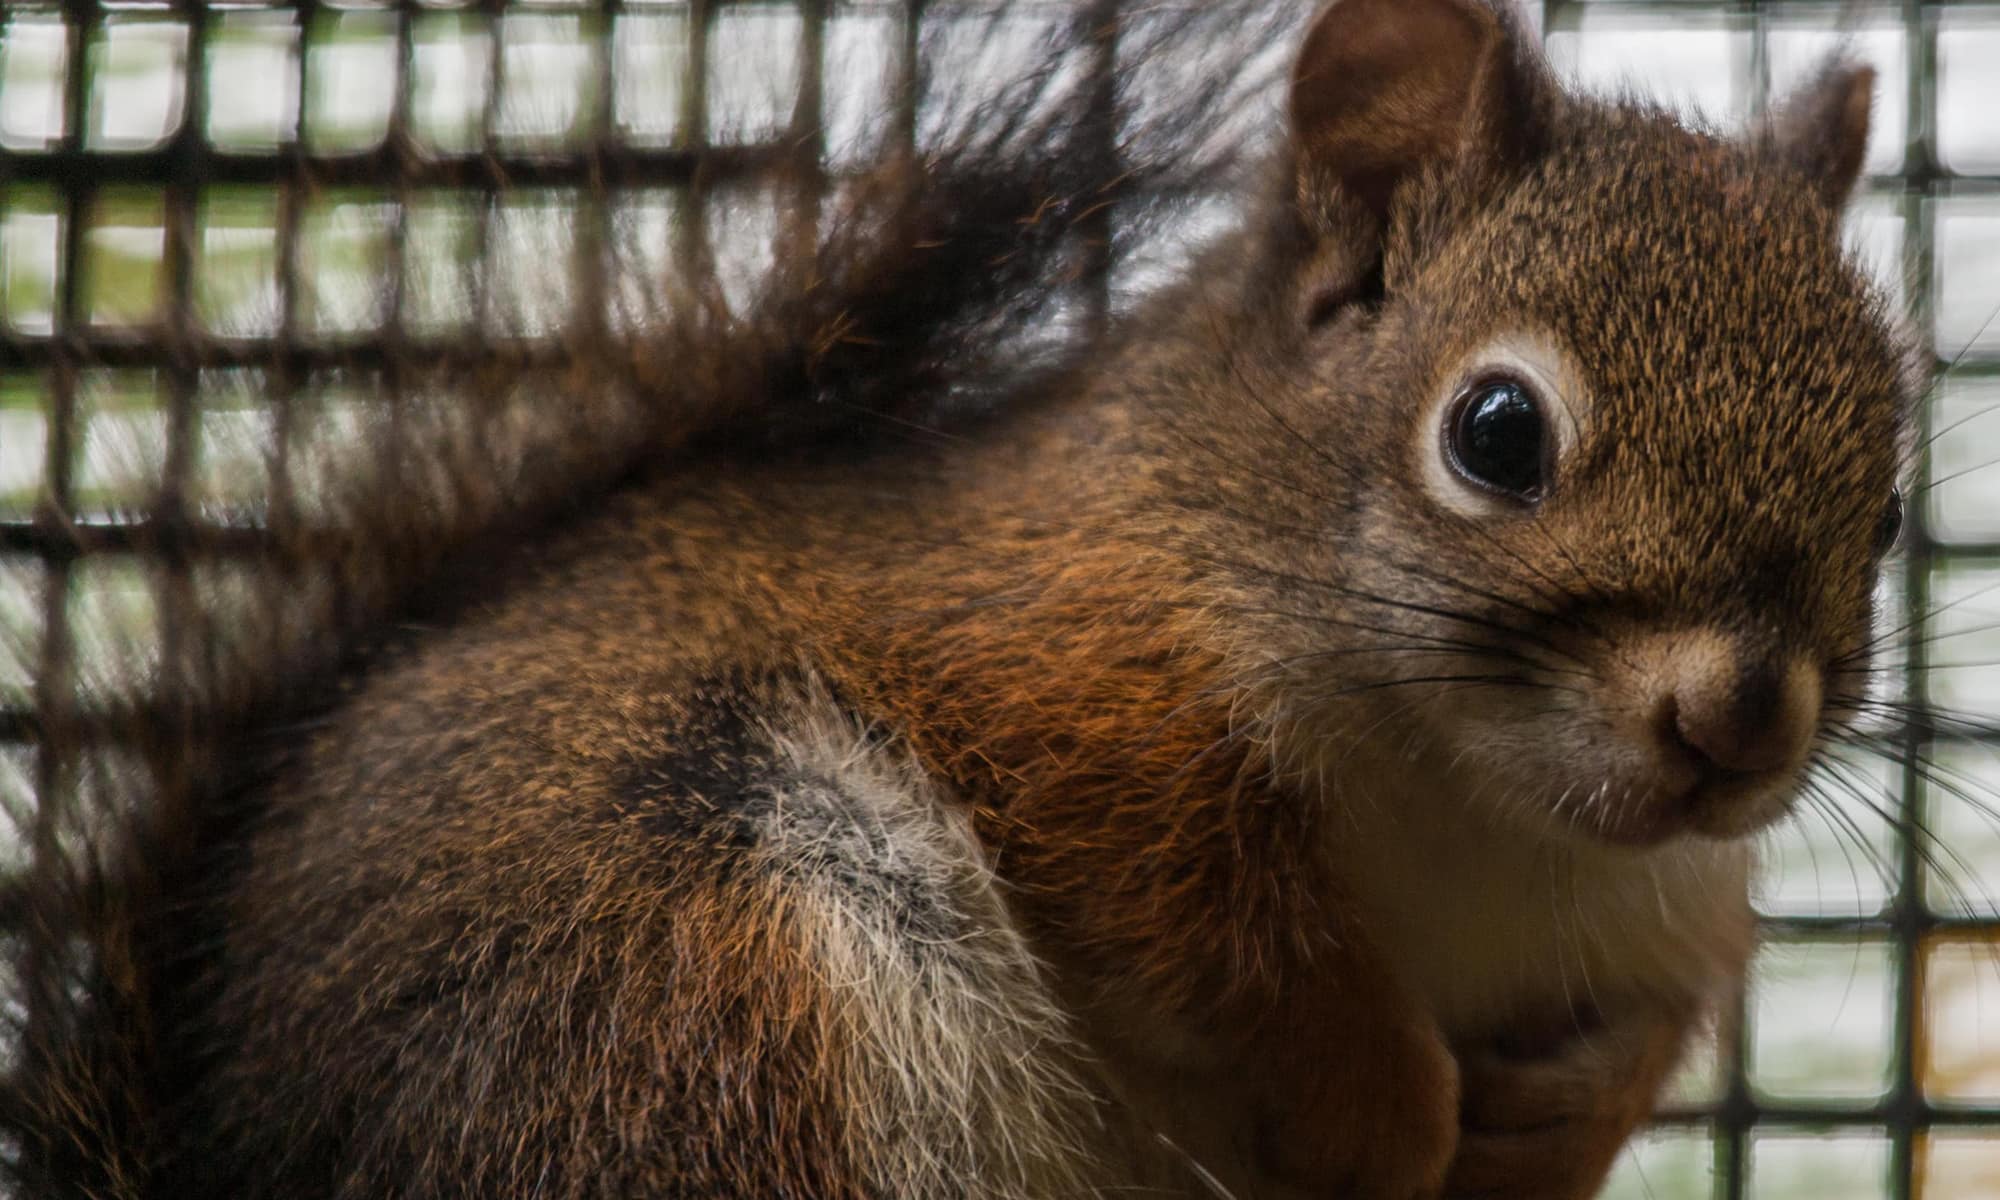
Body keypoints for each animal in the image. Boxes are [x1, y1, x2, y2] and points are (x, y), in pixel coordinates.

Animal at [3, 2, 1920, 1200]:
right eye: (1498, 432)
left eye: (1897, 498)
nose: (1739, 726)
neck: (1484, 817)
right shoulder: (1041, 663)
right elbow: (1217, 922)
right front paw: (1380, 1100)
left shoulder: (1646, 910)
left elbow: (1655, 1012)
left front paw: (1567, 1124)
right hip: (685, 965)